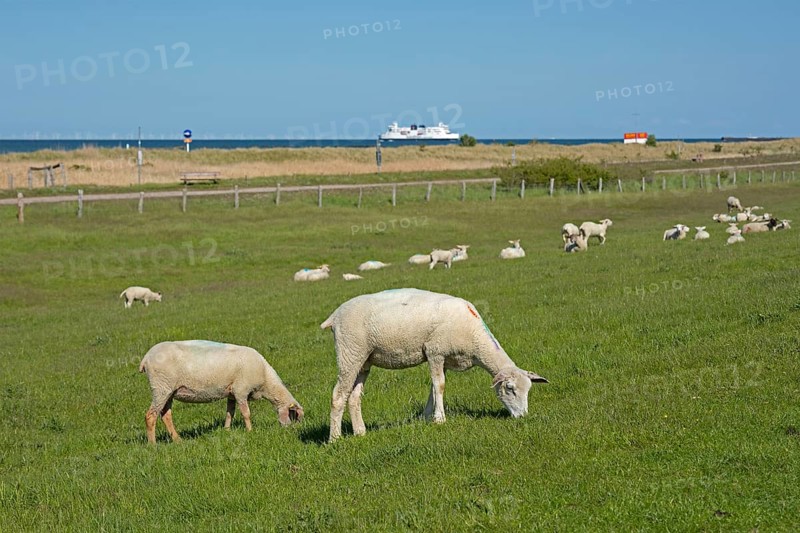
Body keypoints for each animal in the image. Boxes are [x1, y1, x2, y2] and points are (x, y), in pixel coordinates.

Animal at [139, 340, 304, 444]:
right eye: (294, 415)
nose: (291, 432)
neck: (266, 381)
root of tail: (146, 358)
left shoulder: (231, 393)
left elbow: (230, 412)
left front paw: (227, 430)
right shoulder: (241, 390)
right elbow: (246, 413)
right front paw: (250, 431)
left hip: (169, 391)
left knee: (165, 415)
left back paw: (178, 440)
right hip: (161, 387)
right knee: (151, 415)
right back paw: (153, 444)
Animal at [320, 288, 548, 441]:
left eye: (528, 390)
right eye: (509, 388)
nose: (522, 417)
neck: (474, 338)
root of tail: (335, 315)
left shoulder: (444, 359)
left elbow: (433, 387)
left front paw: (427, 416)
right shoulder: (435, 351)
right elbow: (440, 385)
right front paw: (440, 419)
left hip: (363, 360)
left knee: (354, 396)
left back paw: (360, 432)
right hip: (350, 352)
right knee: (338, 395)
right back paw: (335, 439)